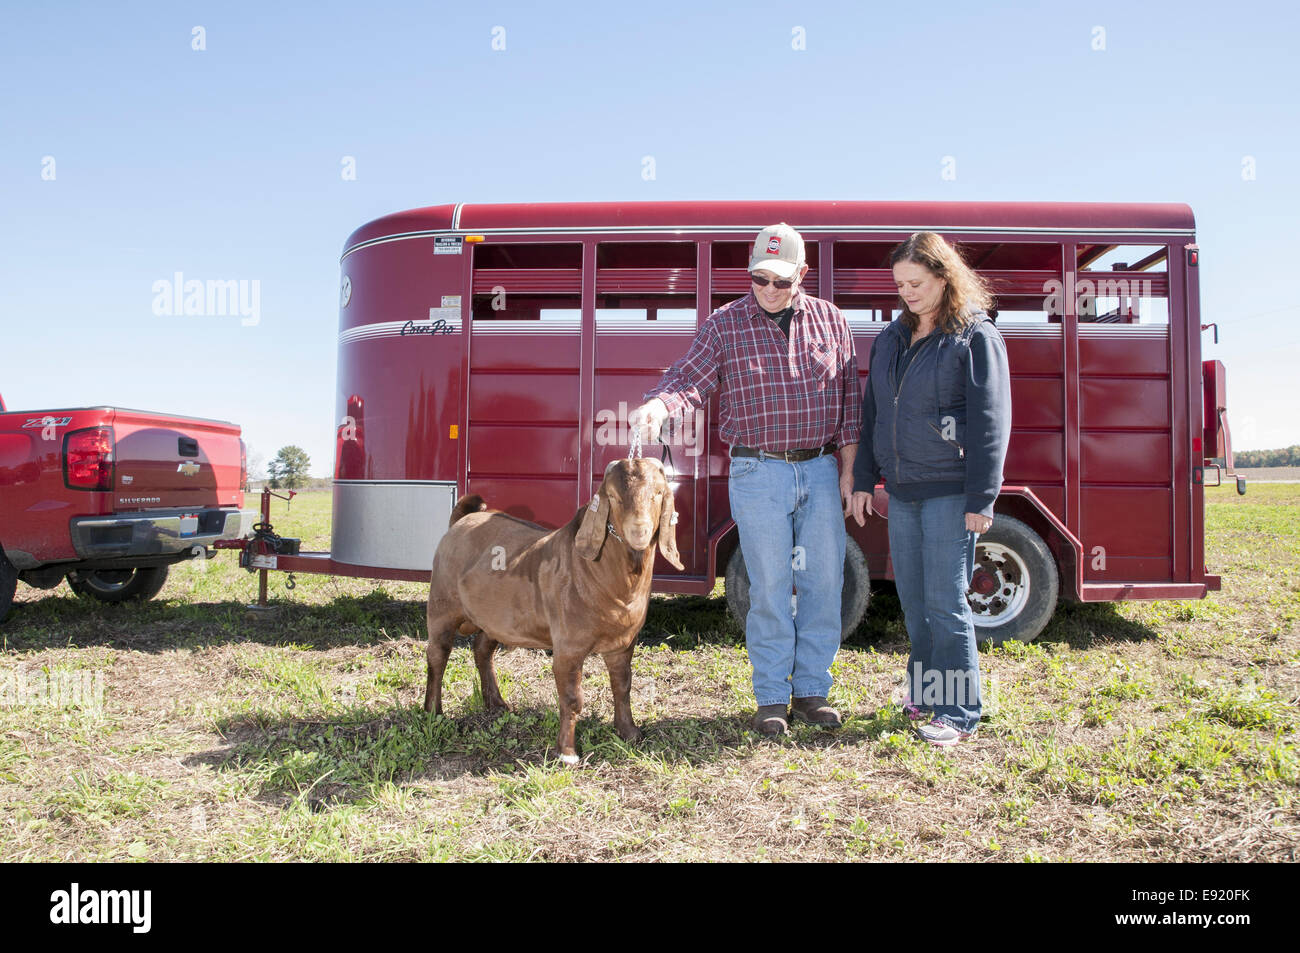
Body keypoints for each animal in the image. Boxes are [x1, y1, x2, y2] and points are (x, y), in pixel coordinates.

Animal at [428, 457, 691, 764]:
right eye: (613, 497)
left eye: (658, 494)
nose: (639, 531)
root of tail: (463, 519)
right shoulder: (568, 647)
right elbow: (572, 699)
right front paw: (566, 753)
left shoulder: (624, 643)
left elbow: (622, 686)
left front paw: (629, 733)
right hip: (442, 604)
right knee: (438, 654)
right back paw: (433, 712)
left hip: (495, 616)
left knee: (482, 649)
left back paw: (496, 704)